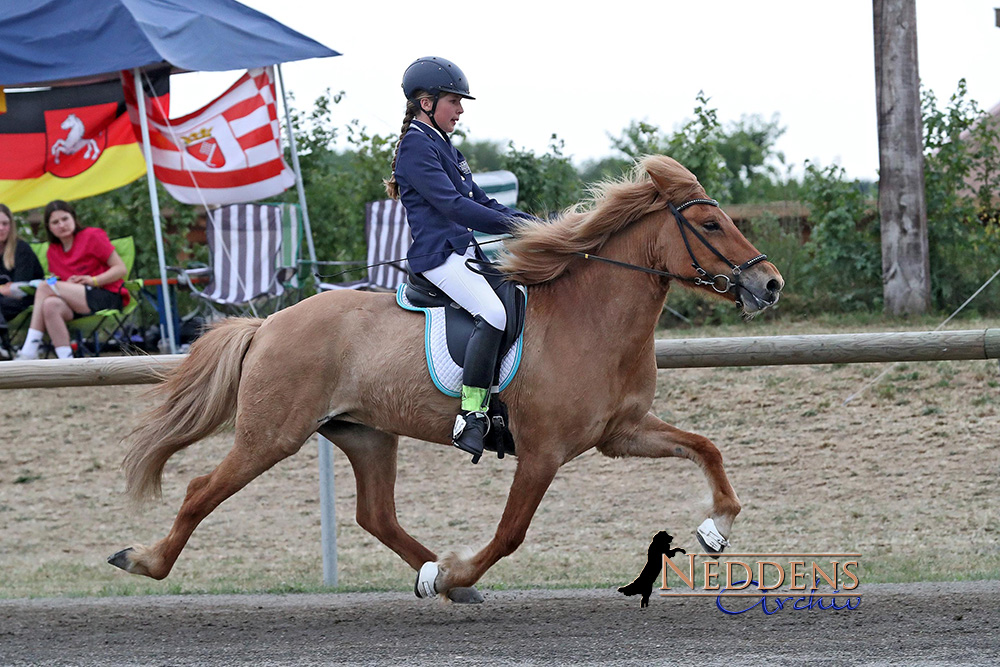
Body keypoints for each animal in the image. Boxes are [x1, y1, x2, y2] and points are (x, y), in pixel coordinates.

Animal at [107, 155, 780, 600]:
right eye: (711, 225)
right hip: (271, 434)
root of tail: (268, 323)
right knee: (202, 490)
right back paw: (143, 560)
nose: (768, 283)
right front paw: (463, 568)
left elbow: (706, 447)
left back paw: (437, 576)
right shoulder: (543, 451)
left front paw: (716, 528)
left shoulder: (622, 432)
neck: (592, 318)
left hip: (365, 434)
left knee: (375, 515)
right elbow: (510, 533)